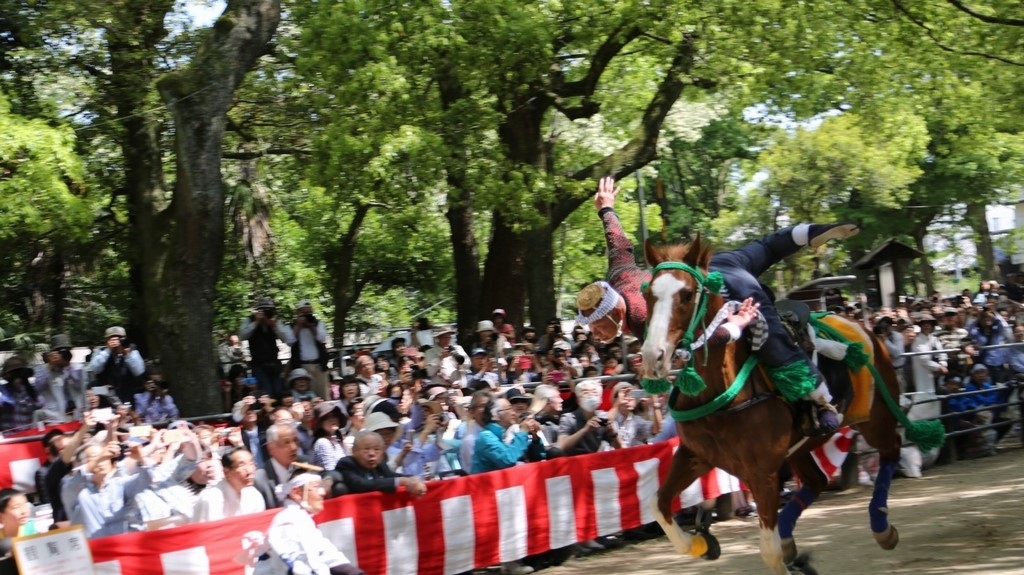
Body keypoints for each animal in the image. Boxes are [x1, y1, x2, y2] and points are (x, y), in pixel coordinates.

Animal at [638, 234, 942, 572]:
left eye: (687, 294)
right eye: (648, 294)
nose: (653, 357)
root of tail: (864, 327)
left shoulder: (762, 472)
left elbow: (768, 552)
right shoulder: (695, 455)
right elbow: (658, 505)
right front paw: (701, 542)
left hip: (875, 418)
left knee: (890, 452)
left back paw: (882, 527)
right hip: (801, 446)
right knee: (816, 480)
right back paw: (791, 543)